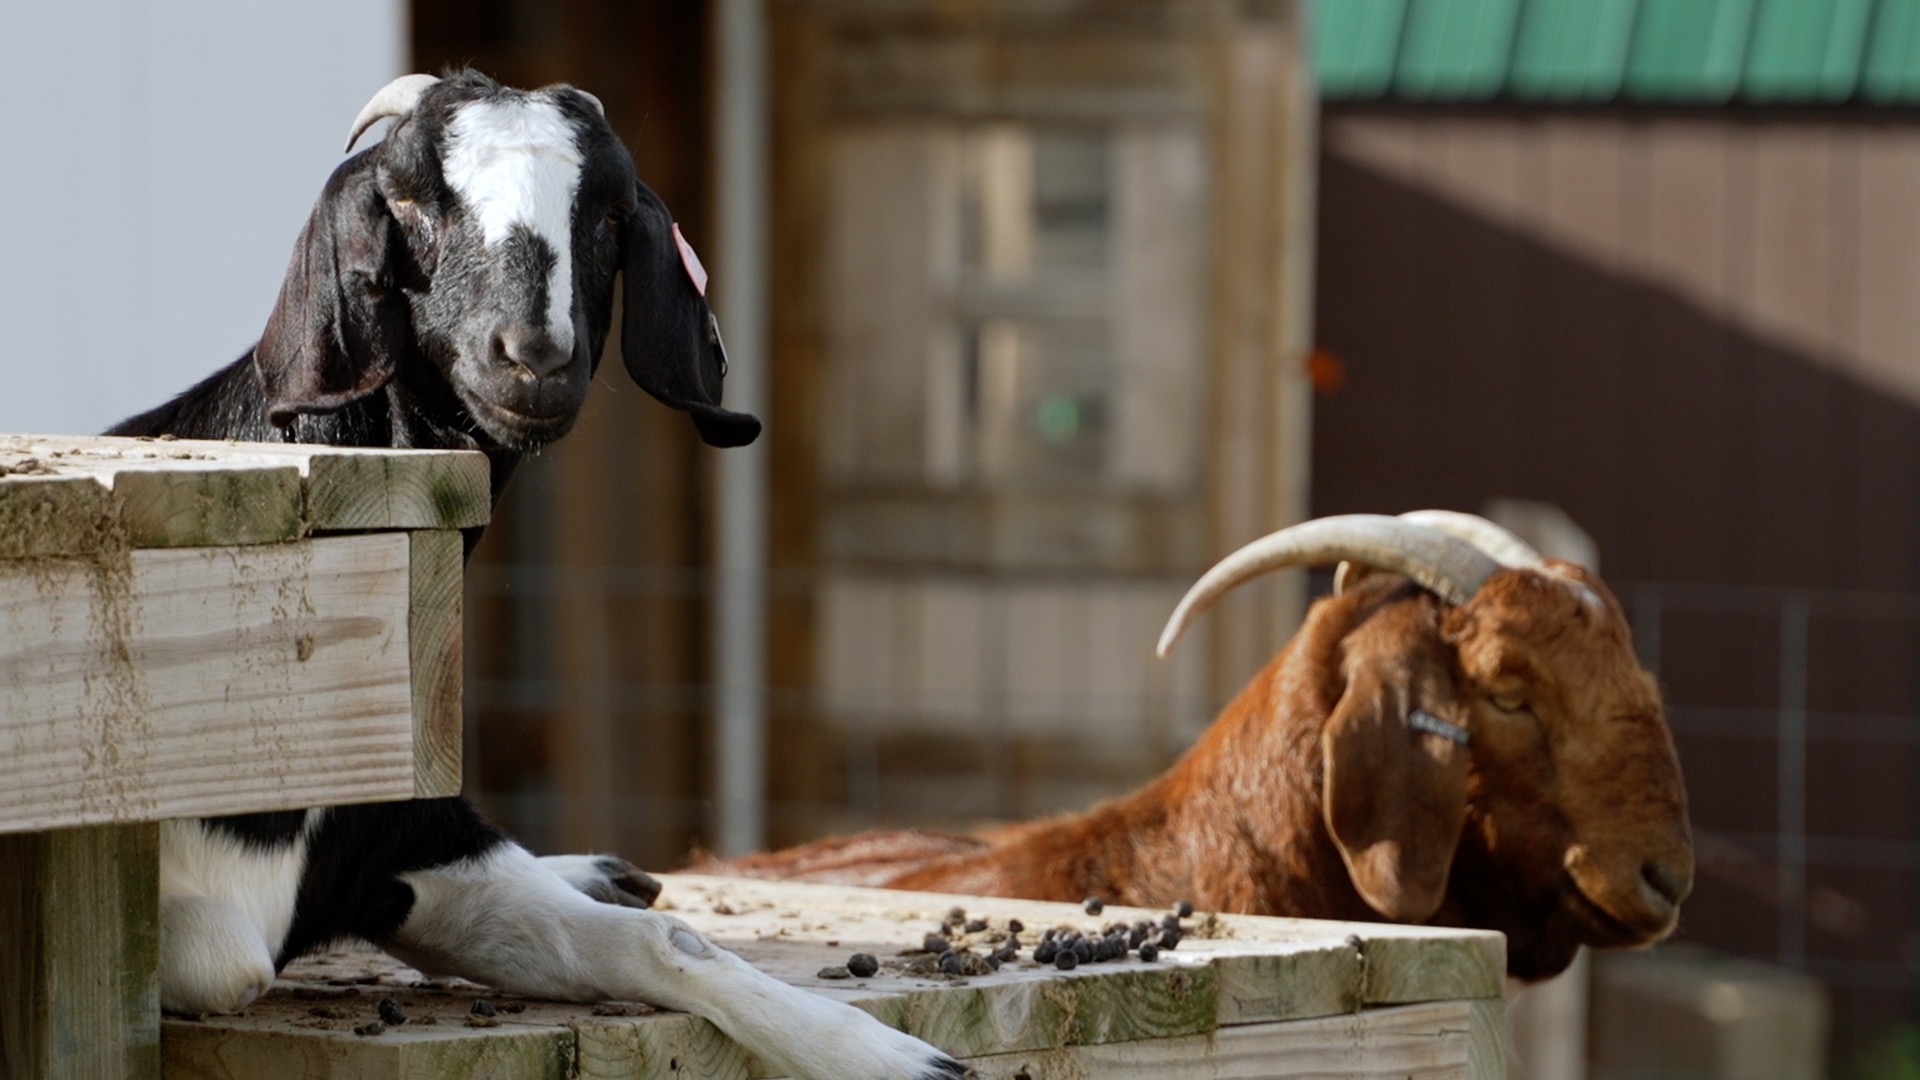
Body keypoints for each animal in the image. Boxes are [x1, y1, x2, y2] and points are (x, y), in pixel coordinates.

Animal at [108, 71, 965, 1080]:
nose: (533, 357)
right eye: (408, 200)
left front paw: (883, 1053)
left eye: (609, 214)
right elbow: (229, 954)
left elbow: (669, 944)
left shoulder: (414, 839)